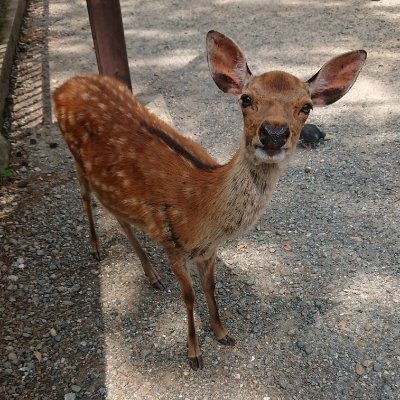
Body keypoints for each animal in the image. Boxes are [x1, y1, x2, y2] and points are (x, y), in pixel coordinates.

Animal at [53, 29, 366, 370]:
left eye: (306, 106)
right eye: (246, 99)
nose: (273, 133)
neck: (202, 213)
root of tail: (64, 86)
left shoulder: (208, 251)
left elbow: (210, 288)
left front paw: (222, 333)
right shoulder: (171, 244)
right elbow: (189, 296)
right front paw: (193, 353)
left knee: (120, 217)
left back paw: (151, 276)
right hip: (74, 157)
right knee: (85, 197)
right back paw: (97, 249)